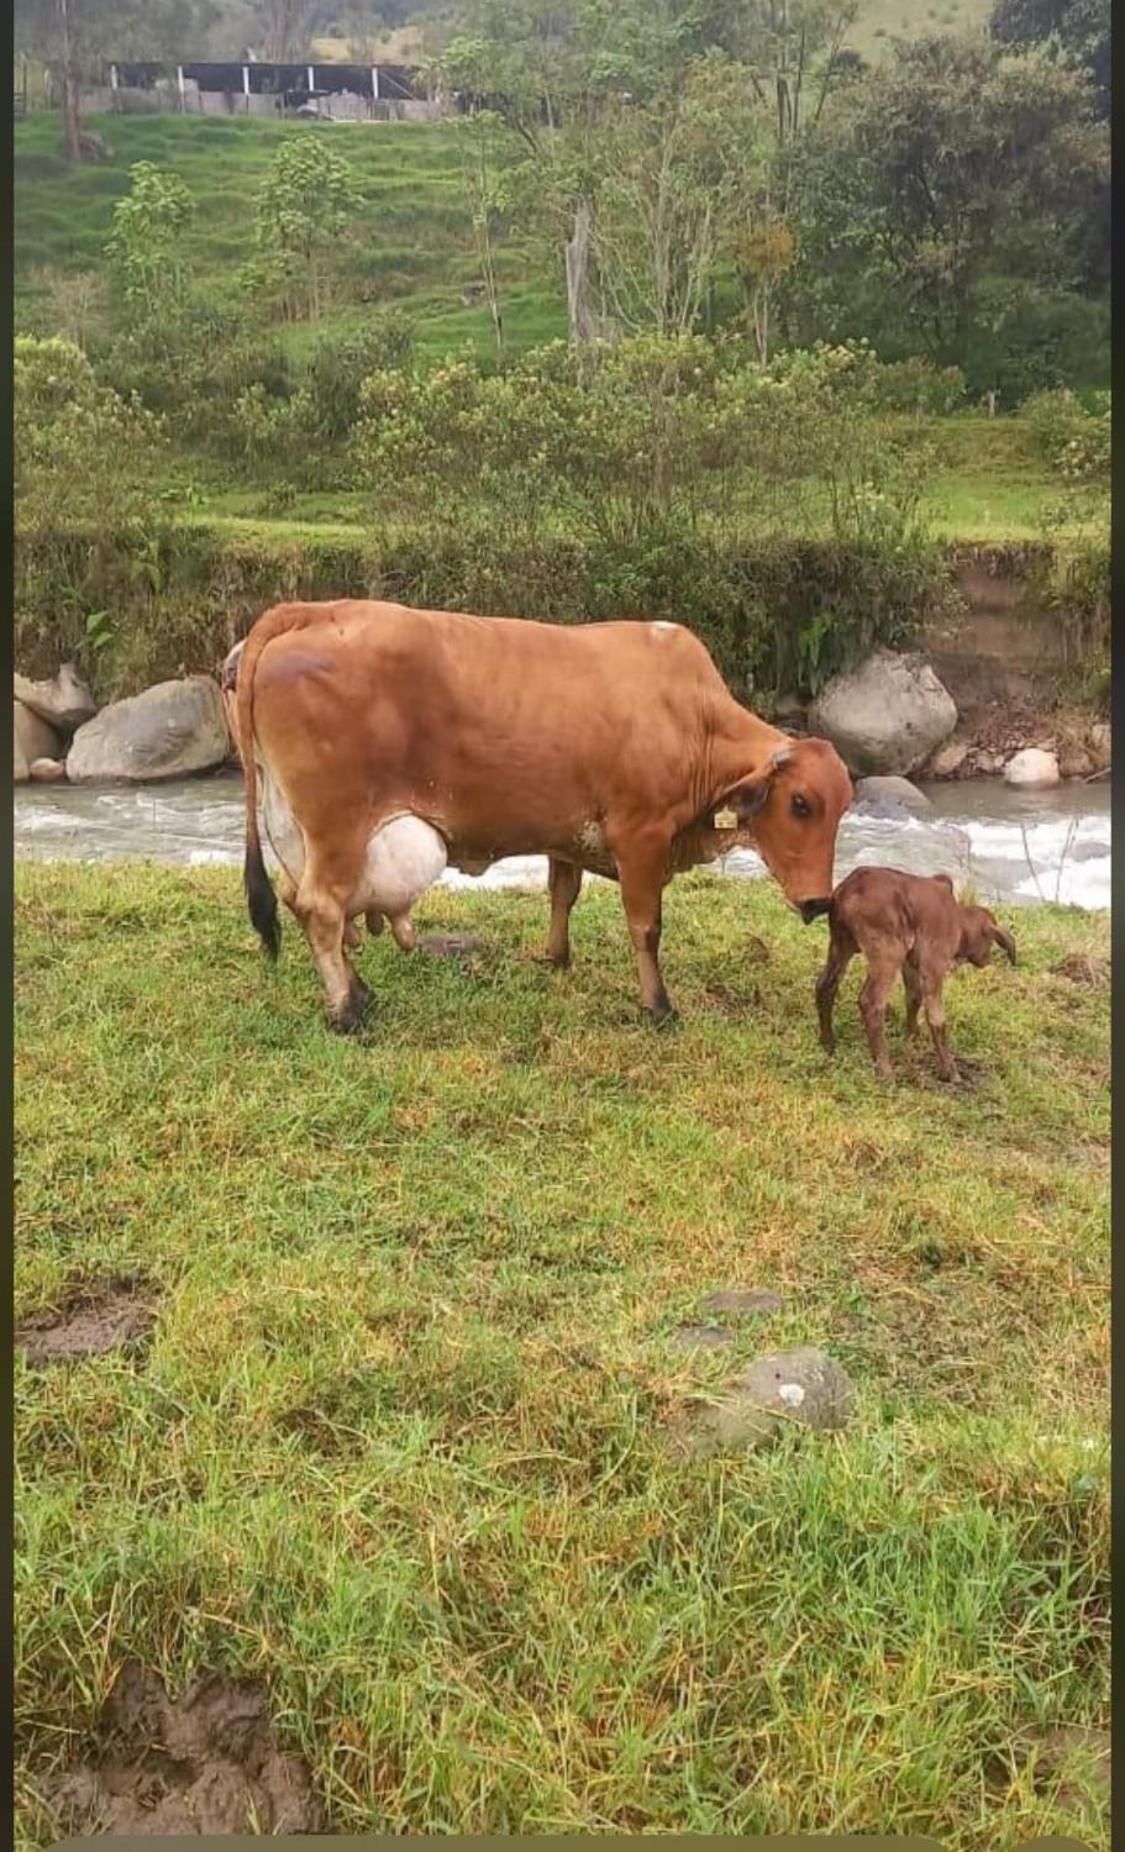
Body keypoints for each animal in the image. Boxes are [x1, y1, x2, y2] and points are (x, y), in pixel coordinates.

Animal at [227, 603, 852, 1029]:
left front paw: (554, 956)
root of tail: (314, 609)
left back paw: (357, 990)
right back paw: (349, 1009)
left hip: (295, 827)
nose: (818, 901)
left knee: (300, 901)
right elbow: (646, 927)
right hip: (338, 826)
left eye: (844, 807)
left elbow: (562, 894)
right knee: (322, 910)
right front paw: (657, 1005)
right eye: (800, 803)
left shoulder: (567, 834)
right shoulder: (641, 835)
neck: (693, 718)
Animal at [815, 866, 1015, 1081]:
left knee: (825, 985)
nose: (987, 960)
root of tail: (845, 891)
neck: (957, 921)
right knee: (870, 1001)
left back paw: (828, 1043)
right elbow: (936, 1018)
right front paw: (950, 1071)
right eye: (990, 942)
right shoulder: (933, 966)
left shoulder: (910, 962)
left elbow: (914, 997)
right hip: (888, 954)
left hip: (842, 945)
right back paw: (884, 1070)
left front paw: (913, 1035)